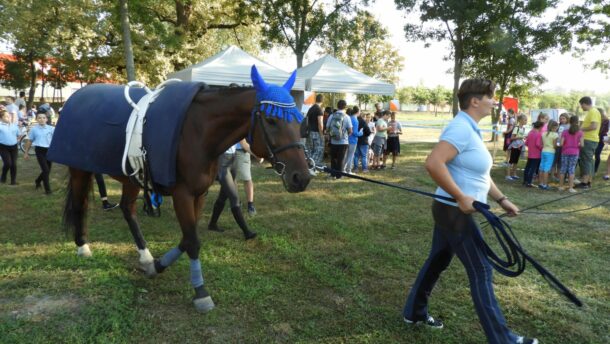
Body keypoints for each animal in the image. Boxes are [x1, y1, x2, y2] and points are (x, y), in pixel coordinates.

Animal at [57, 66, 312, 310]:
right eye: (271, 120)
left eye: (300, 120)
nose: (302, 177)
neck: (198, 132)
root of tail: (75, 98)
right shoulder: (182, 194)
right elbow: (192, 241)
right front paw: (201, 292)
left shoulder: (199, 193)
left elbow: (188, 238)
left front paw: (157, 266)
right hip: (80, 169)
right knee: (79, 205)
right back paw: (82, 246)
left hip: (131, 179)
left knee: (128, 209)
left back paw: (145, 256)